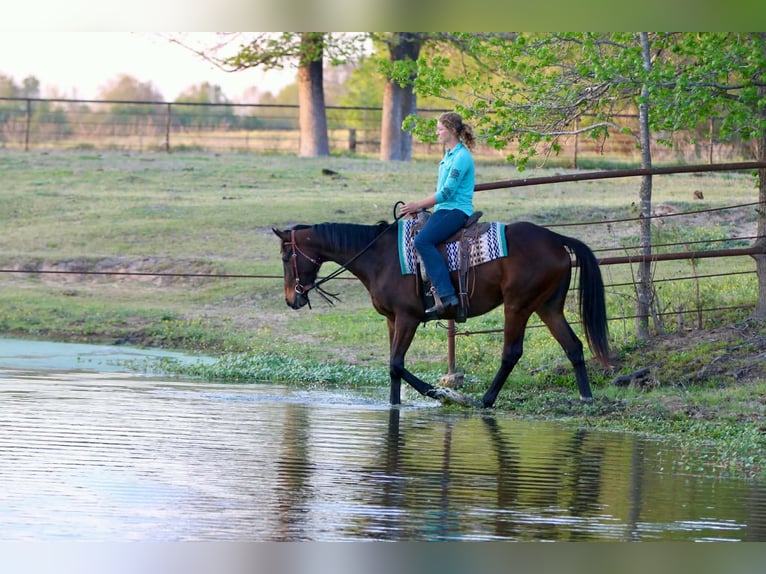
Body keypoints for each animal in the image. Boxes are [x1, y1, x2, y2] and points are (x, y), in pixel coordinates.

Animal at [272, 216, 610, 408]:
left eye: (287, 257)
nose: (291, 299)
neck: (379, 257)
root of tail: (557, 239)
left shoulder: (407, 318)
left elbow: (396, 364)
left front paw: (437, 392)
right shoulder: (392, 320)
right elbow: (393, 367)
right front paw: (394, 405)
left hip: (519, 305)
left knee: (511, 353)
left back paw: (485, 400)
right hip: (547, 306)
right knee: (573, 346)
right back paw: (586, 396)